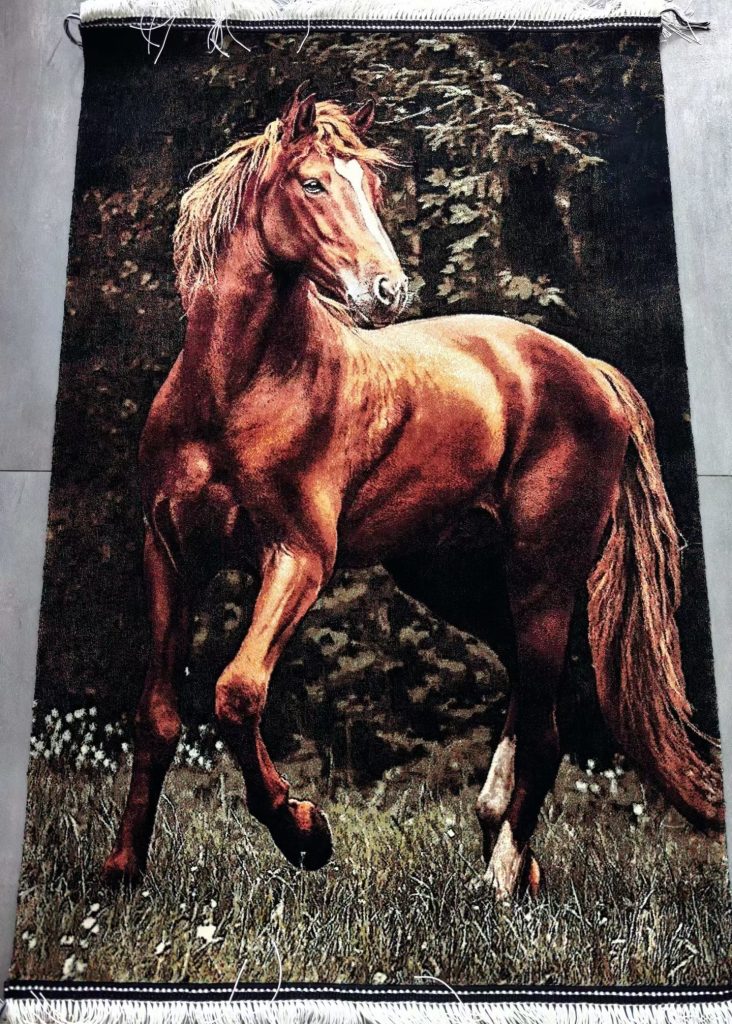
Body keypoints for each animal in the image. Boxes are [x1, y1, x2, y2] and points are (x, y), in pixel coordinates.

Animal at [102, 87, 723, 899]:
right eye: (312, 183)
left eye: (371, 187)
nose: (388, 290)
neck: (233, 393)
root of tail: (589, 370)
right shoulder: (170, 555)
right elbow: (156, 715)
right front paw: (121, 872)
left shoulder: (299, 559)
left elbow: (237, 694)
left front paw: (306, 833)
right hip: (449, 575)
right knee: (534, 688)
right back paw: (508, 847)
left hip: (543, 577)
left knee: (549, 724)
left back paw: (498, 880)